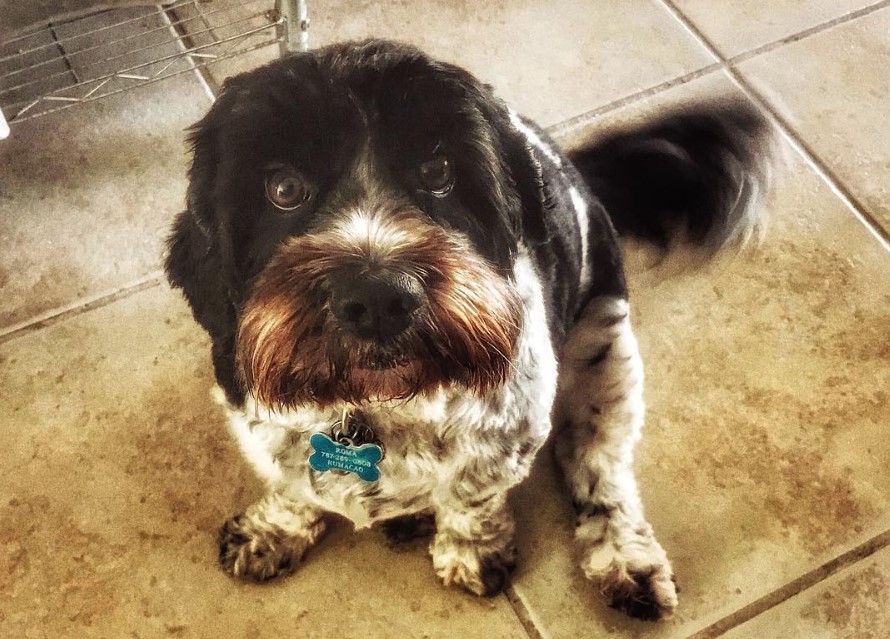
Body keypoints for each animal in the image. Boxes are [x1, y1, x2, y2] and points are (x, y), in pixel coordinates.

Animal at [163, 38, 772, 620]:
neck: (374, 402)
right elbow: (292, 485)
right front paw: (273, 530)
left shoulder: (510, 431)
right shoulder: (257, 418)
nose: (379, 297)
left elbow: (472, 495)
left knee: (598, 463)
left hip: (607, 349)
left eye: (438, 173)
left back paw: (625, 557)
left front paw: (469, 550)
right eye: (284, 188)